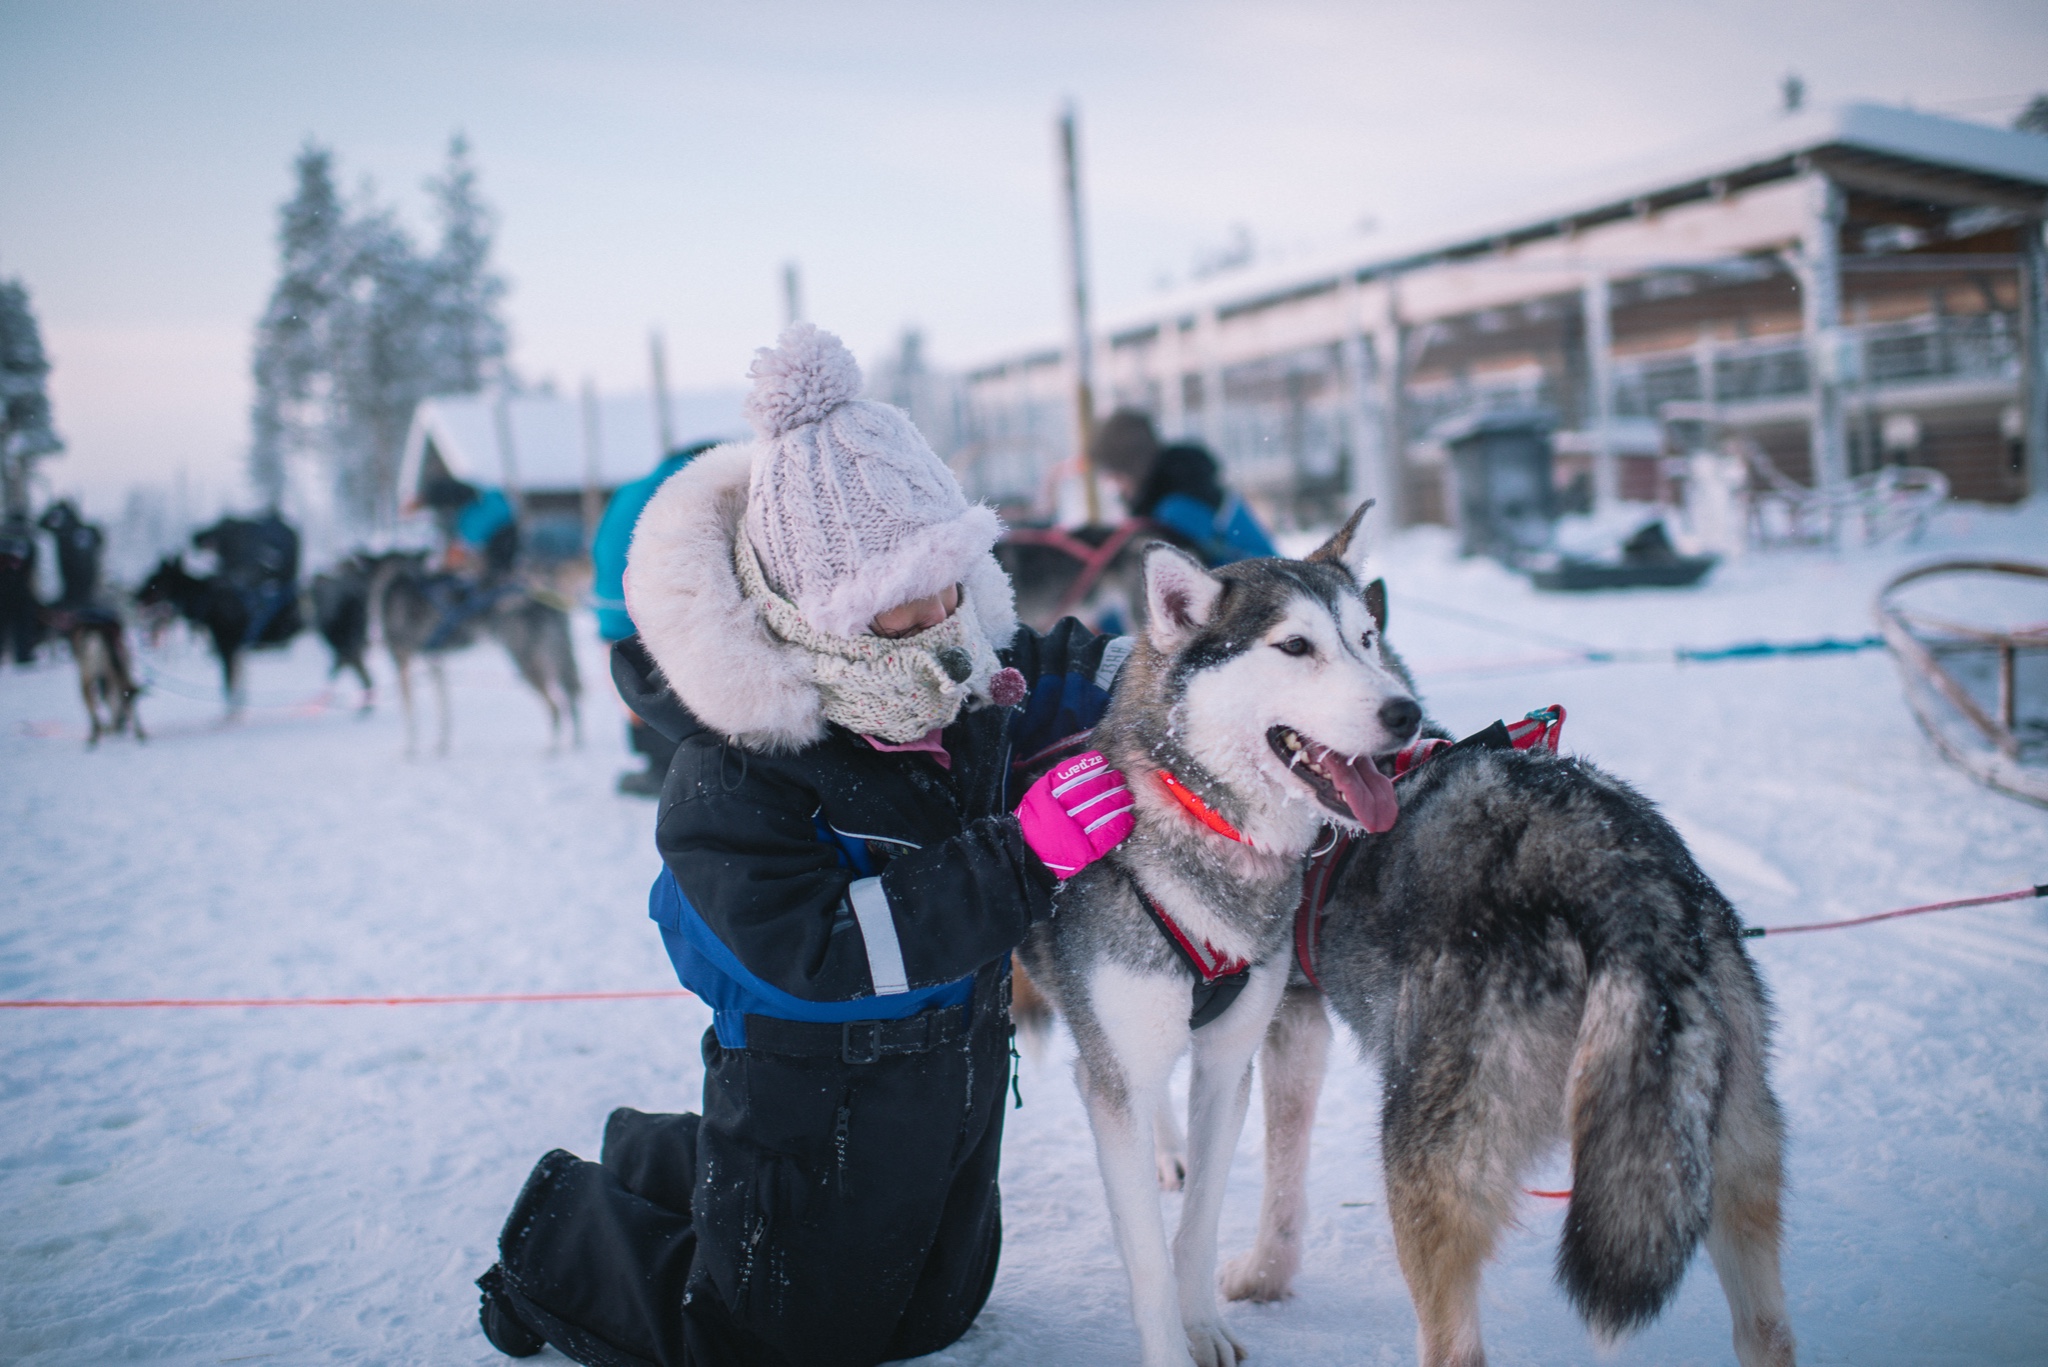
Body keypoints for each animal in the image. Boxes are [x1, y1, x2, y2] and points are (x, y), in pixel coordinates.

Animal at [1015, 506, 1417, 1367]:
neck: (1211, 825)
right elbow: (1145, 1258)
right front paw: (1173, 1345)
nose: (1405, 713)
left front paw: (1203, 1323)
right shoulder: (1119, 1068)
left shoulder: (1229, 1060)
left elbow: (1195, 1228)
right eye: (1295, 645)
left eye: (1366, 637)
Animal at [1212, 582, 1794, 1360]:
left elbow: (1279, 1166)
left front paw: (1260, 1274)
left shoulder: (1284, 1020)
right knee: (1767, 1328)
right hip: (1729, 1161)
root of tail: (1628, 890)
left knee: (1455, 1341)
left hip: (1426, 1169)